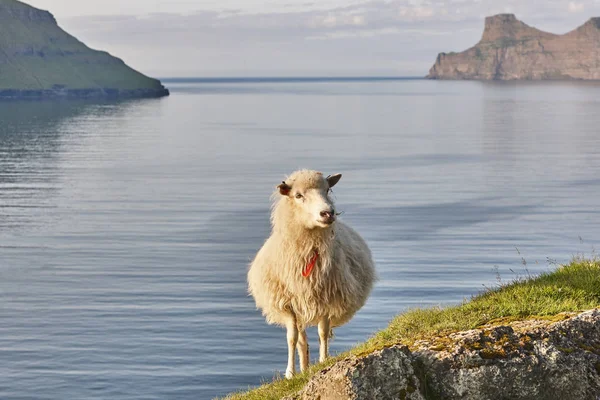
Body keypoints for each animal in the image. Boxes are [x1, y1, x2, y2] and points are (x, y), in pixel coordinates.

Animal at [246, 169, 372, 378]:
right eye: (298, 195)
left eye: (327, 189)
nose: (328, 213)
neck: (308, 250)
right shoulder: (287, 303)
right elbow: (292, 338)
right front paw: (290, 373)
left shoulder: (327, 298)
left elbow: (322, 332)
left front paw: (323, 361)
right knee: (301, 339)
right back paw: (303, 368)